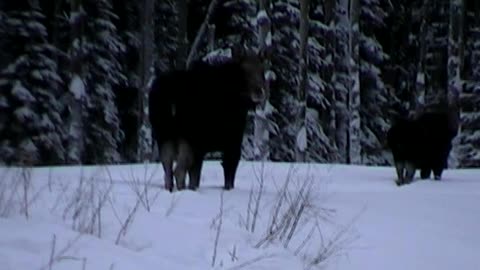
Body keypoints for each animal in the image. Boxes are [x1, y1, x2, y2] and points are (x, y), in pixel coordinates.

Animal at [149, 49, 266, 192]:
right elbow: (228, 174)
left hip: (164, 135)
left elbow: (195, 177)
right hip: (188, 137)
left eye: (262, 69)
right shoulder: (232, 141)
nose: (259, 91)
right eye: (244, 70)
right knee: (179, 171)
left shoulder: (202, 148)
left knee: (167, 171)